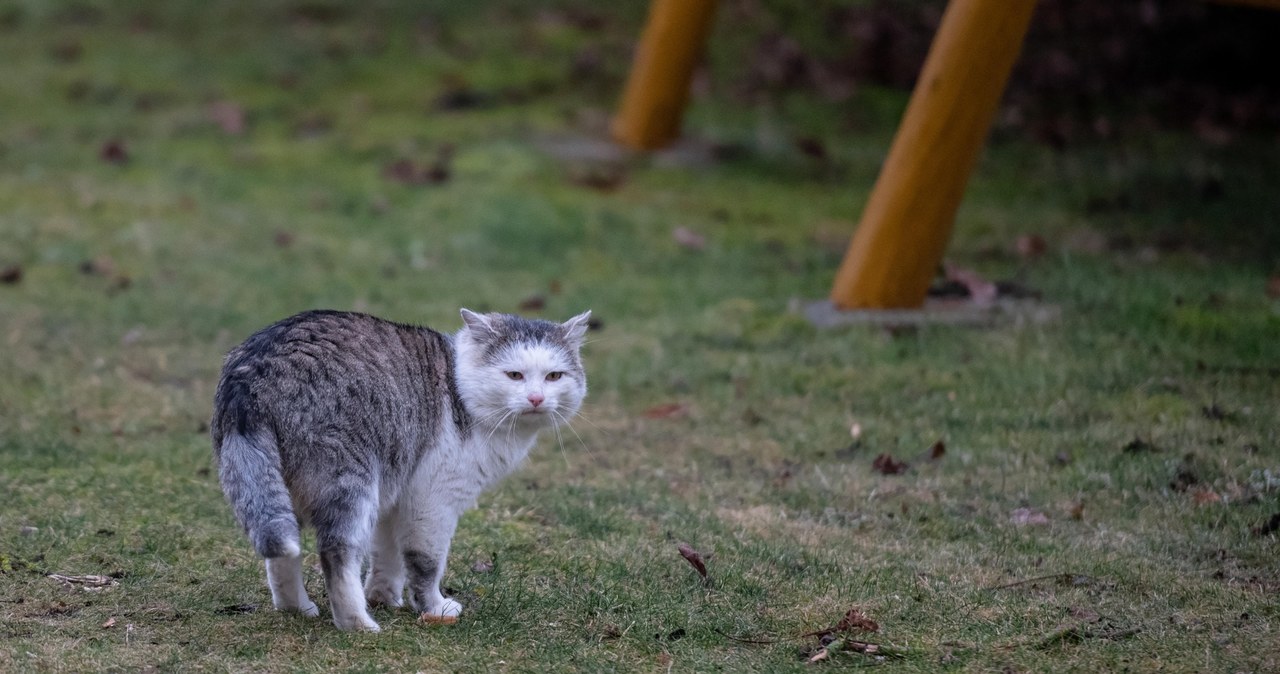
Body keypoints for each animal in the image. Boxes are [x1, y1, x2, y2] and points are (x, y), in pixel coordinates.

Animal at [209, 309, 588, 634]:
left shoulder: (394, 495)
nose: (537, 398)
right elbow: (425, 563)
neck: (459, 388)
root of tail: (253, 373)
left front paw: (383, 596)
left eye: (554, 376)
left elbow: (386, 555)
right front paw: (432, 607)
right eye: (514, 375)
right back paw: (357, 624)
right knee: (336, 554)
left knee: (280, 556)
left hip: (287, 493)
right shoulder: (432, 501)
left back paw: (297, 609)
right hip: (351, 483)